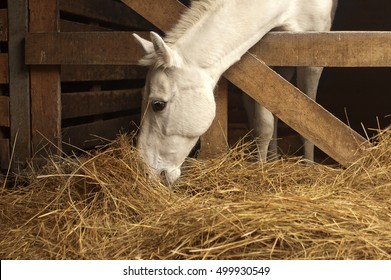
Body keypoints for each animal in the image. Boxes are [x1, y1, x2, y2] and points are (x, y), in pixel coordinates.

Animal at [133, 0, 338, 184]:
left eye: (158, 105)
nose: (146, 172)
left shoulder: (313, 54)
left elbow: (309, 119)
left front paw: (309, 167)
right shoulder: (268, 57)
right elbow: (264, 125)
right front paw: (261, 167)